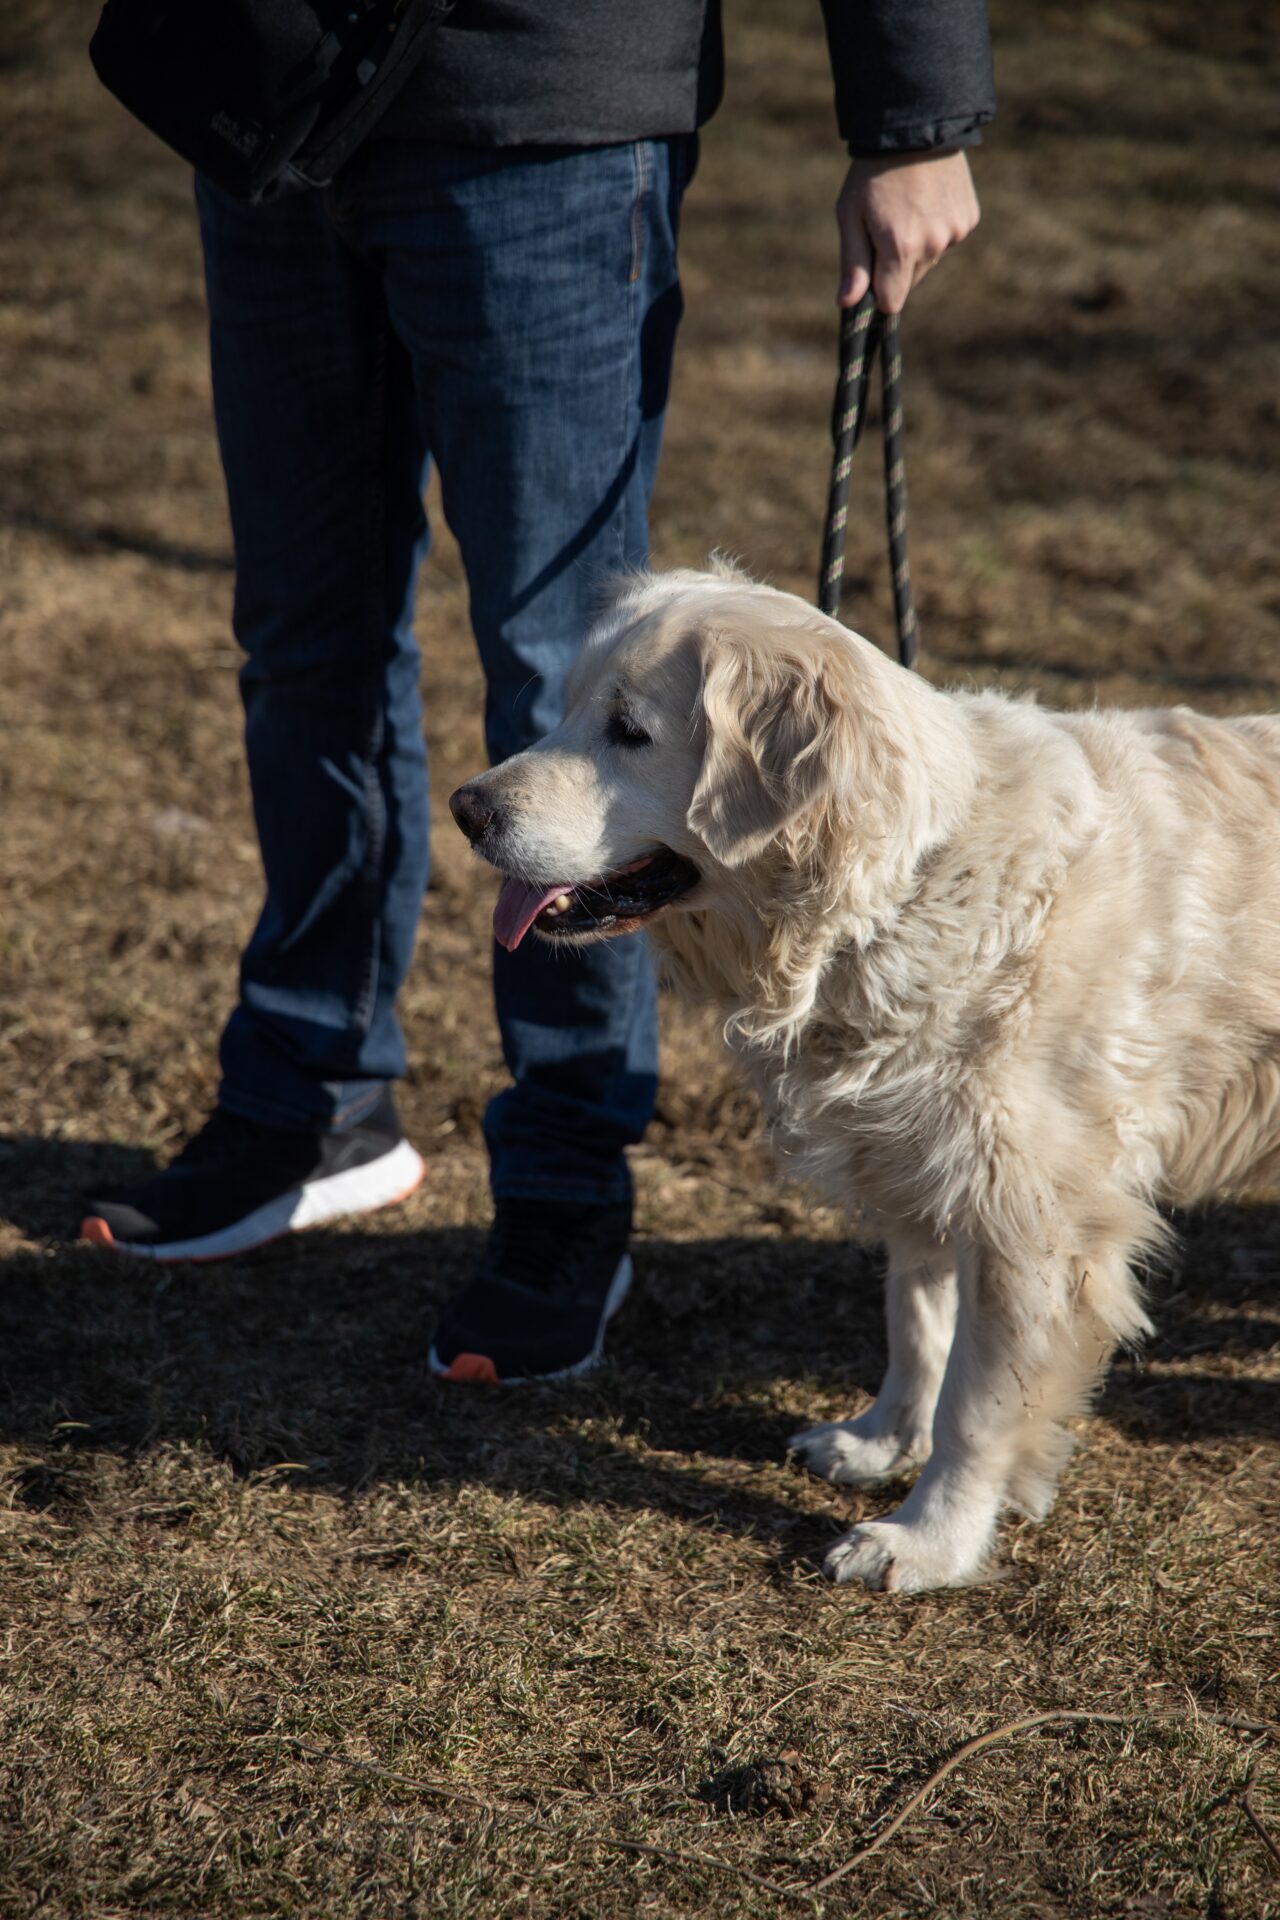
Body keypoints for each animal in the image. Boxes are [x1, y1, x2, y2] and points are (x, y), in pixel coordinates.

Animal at [449, 564, 1280, 1589]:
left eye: (629, 732)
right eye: (563, 711)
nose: (466, 809)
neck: (891, 894)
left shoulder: (1033, 1218)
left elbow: (979, 1403)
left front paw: (928, 1538)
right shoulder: (916, 1160)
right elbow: (916, 1323)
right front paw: (885, 1441)